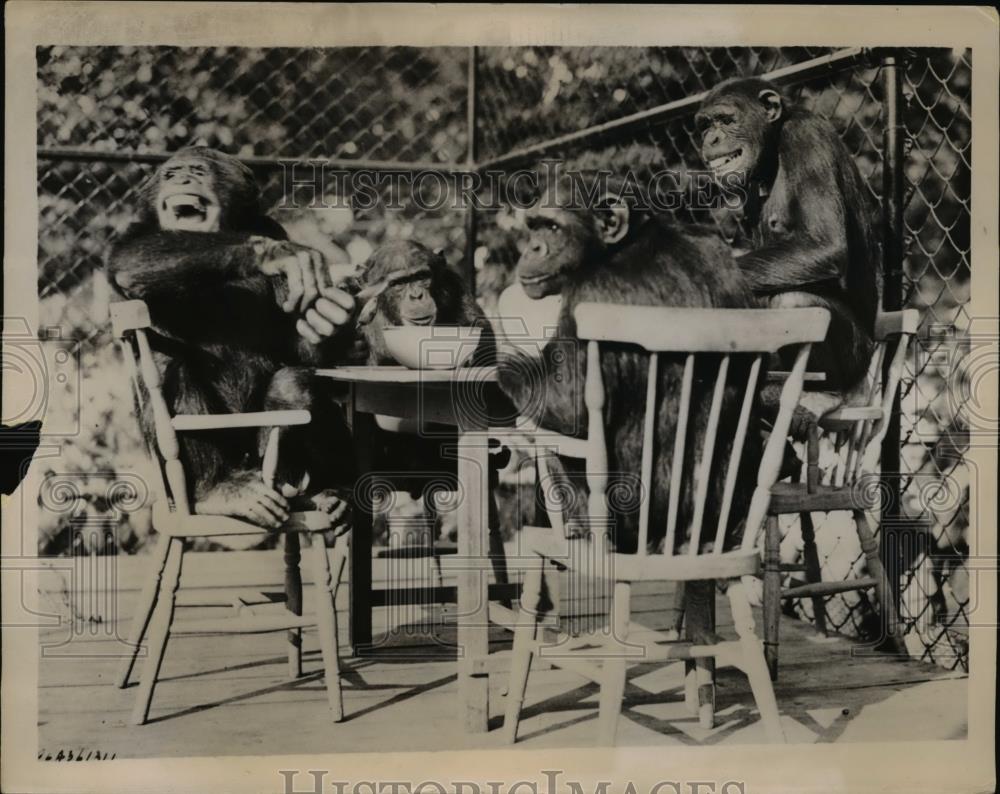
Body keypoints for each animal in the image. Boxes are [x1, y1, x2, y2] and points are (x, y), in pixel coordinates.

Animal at [108, 147, 358, 532]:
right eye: (170, 175)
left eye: (198, 171)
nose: (182, 179)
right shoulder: (135, 230)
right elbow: (129, 257)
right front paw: (273, 254)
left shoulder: (271, 226)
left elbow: (295, 344)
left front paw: (328, 317)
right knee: (167, 365)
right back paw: (218, 490)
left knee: (297, 383)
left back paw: (331, 493)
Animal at [496, 176, 760, 552]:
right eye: (533, 226)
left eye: (553, 227)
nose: (532, 248)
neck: (626, 244)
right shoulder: (717, 250)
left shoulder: (589, 293)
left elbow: (566, 404)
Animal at [696, 78, 876, 400]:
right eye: (705, 125)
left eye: (726, 120)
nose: (711, 139)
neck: (773, 149)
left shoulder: (806, 139)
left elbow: (824, 244)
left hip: (857, 359)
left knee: (794, 300)